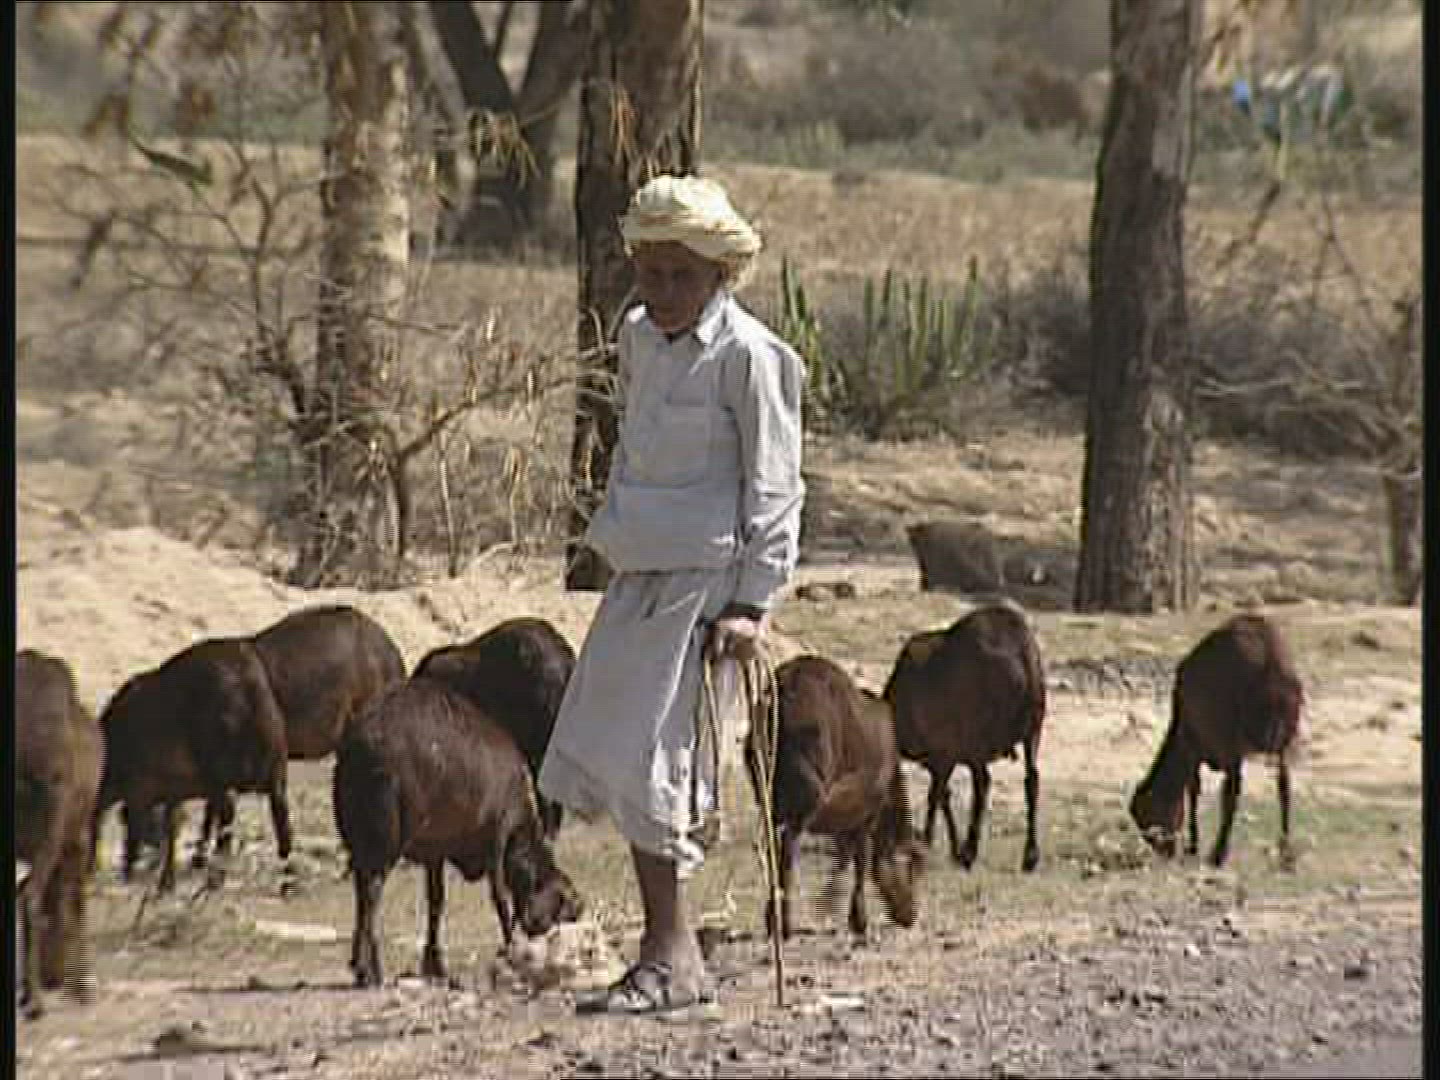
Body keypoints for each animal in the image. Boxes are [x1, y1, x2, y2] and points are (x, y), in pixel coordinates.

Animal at [97, 636, 290, 895]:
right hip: (272, 772)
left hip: (219, 774)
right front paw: (165, 880)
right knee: (280, 820)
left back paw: (215, 877)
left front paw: (138, 874)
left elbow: (141, 828)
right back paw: (287, 878)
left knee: (227, 819)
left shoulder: (142, 787)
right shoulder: (168, 791)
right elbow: (169, 827)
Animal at [333, 675, 583, 988]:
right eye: (567, 906)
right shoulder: (497, 841)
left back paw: (360, 963)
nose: (579, 913)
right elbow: (500, 899)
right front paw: (509, 950)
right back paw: (370, 969)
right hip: (386, 842)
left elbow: (436, 902)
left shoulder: (435, 853)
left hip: (358, 838)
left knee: (361, 891)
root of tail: (362, 746)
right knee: (371, 892)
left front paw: (435, 963)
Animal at [746, 654, 925, 939]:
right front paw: (854, 916)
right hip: (807, 797)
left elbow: (845, 852)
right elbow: (859, 857)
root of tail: (781, 698)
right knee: (788, 848)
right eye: (912, 868)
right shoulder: (867, 810)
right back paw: (783, 922)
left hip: (766, 788)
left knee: (770, 844)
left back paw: (773, 915)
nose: (911, 916)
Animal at [883, 601, 1047, 872]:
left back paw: (970, 851)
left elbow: (937, 794)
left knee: (983, 784)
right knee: (1031, 779)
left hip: (977, 736)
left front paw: (932, 841)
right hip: (1032, 729)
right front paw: (947, 845)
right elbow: (943, 794)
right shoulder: (944, 756)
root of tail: (1020, 653)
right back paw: (1030, 856)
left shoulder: (943, 751)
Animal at [1130, 613, 1303, 867]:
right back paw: (1285, 852)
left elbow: (1193, 788)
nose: (1166, 851)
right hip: (1286, 734)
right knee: (1284, 785)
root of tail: (1270, 665)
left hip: (1231, 733)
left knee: (1232, 791)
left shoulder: (1191, 740)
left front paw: (1193, 846)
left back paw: (1218, 854)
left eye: (1148, 815)